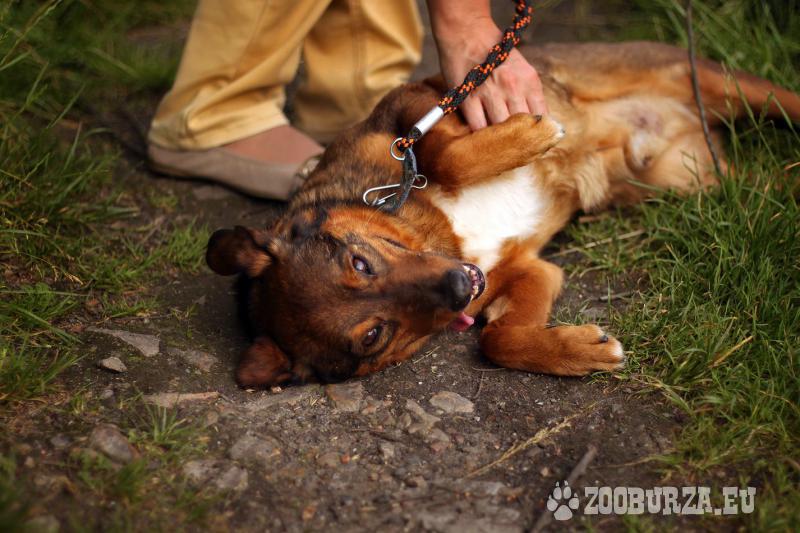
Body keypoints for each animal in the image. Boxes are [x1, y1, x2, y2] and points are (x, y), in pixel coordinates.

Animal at [206, 41, 800, 387]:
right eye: (373, 335)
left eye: (359, 263)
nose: (455, 287)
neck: (437, 232)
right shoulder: (531, 271)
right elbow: (497, 340)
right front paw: (577, 351)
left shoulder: (413, 108)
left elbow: (442, 152)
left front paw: (532, 134)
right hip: (700, 183)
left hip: (722, 85)